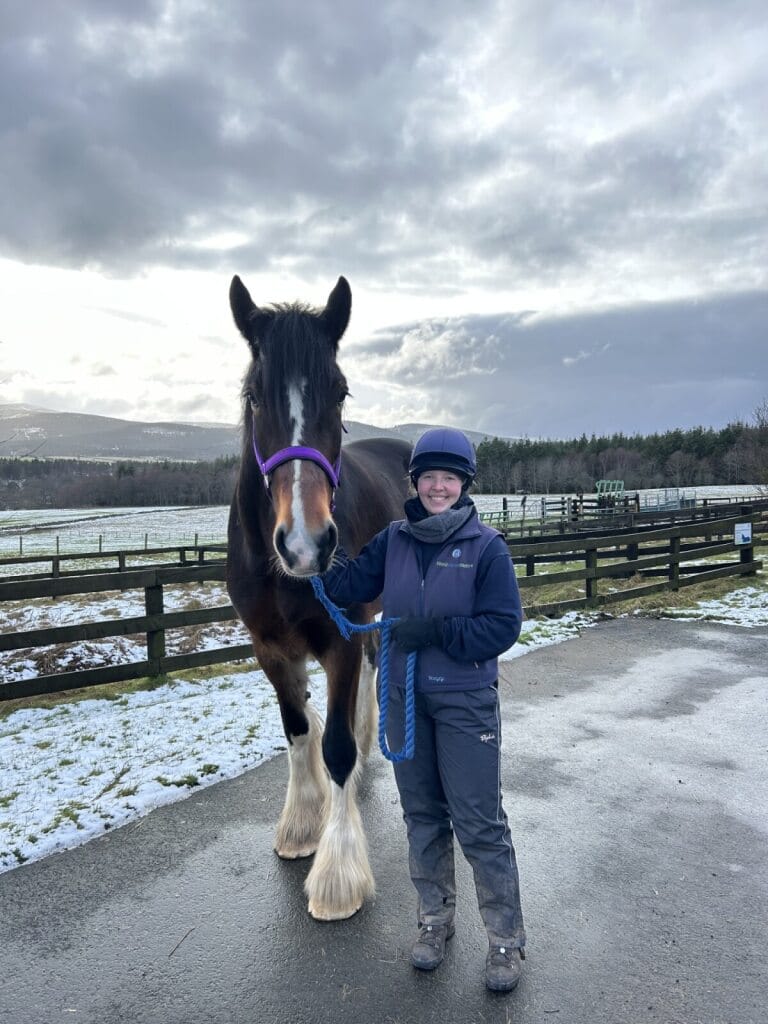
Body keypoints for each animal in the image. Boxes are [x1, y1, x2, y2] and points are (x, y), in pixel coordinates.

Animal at [225, 274, 412, 920]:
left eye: (340, 391)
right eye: (254, 396)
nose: (306, 543)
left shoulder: (339, 639)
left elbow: (333, 747)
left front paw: (337, 874)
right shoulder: (270, 649)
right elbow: (299, 728)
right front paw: (302, 825)